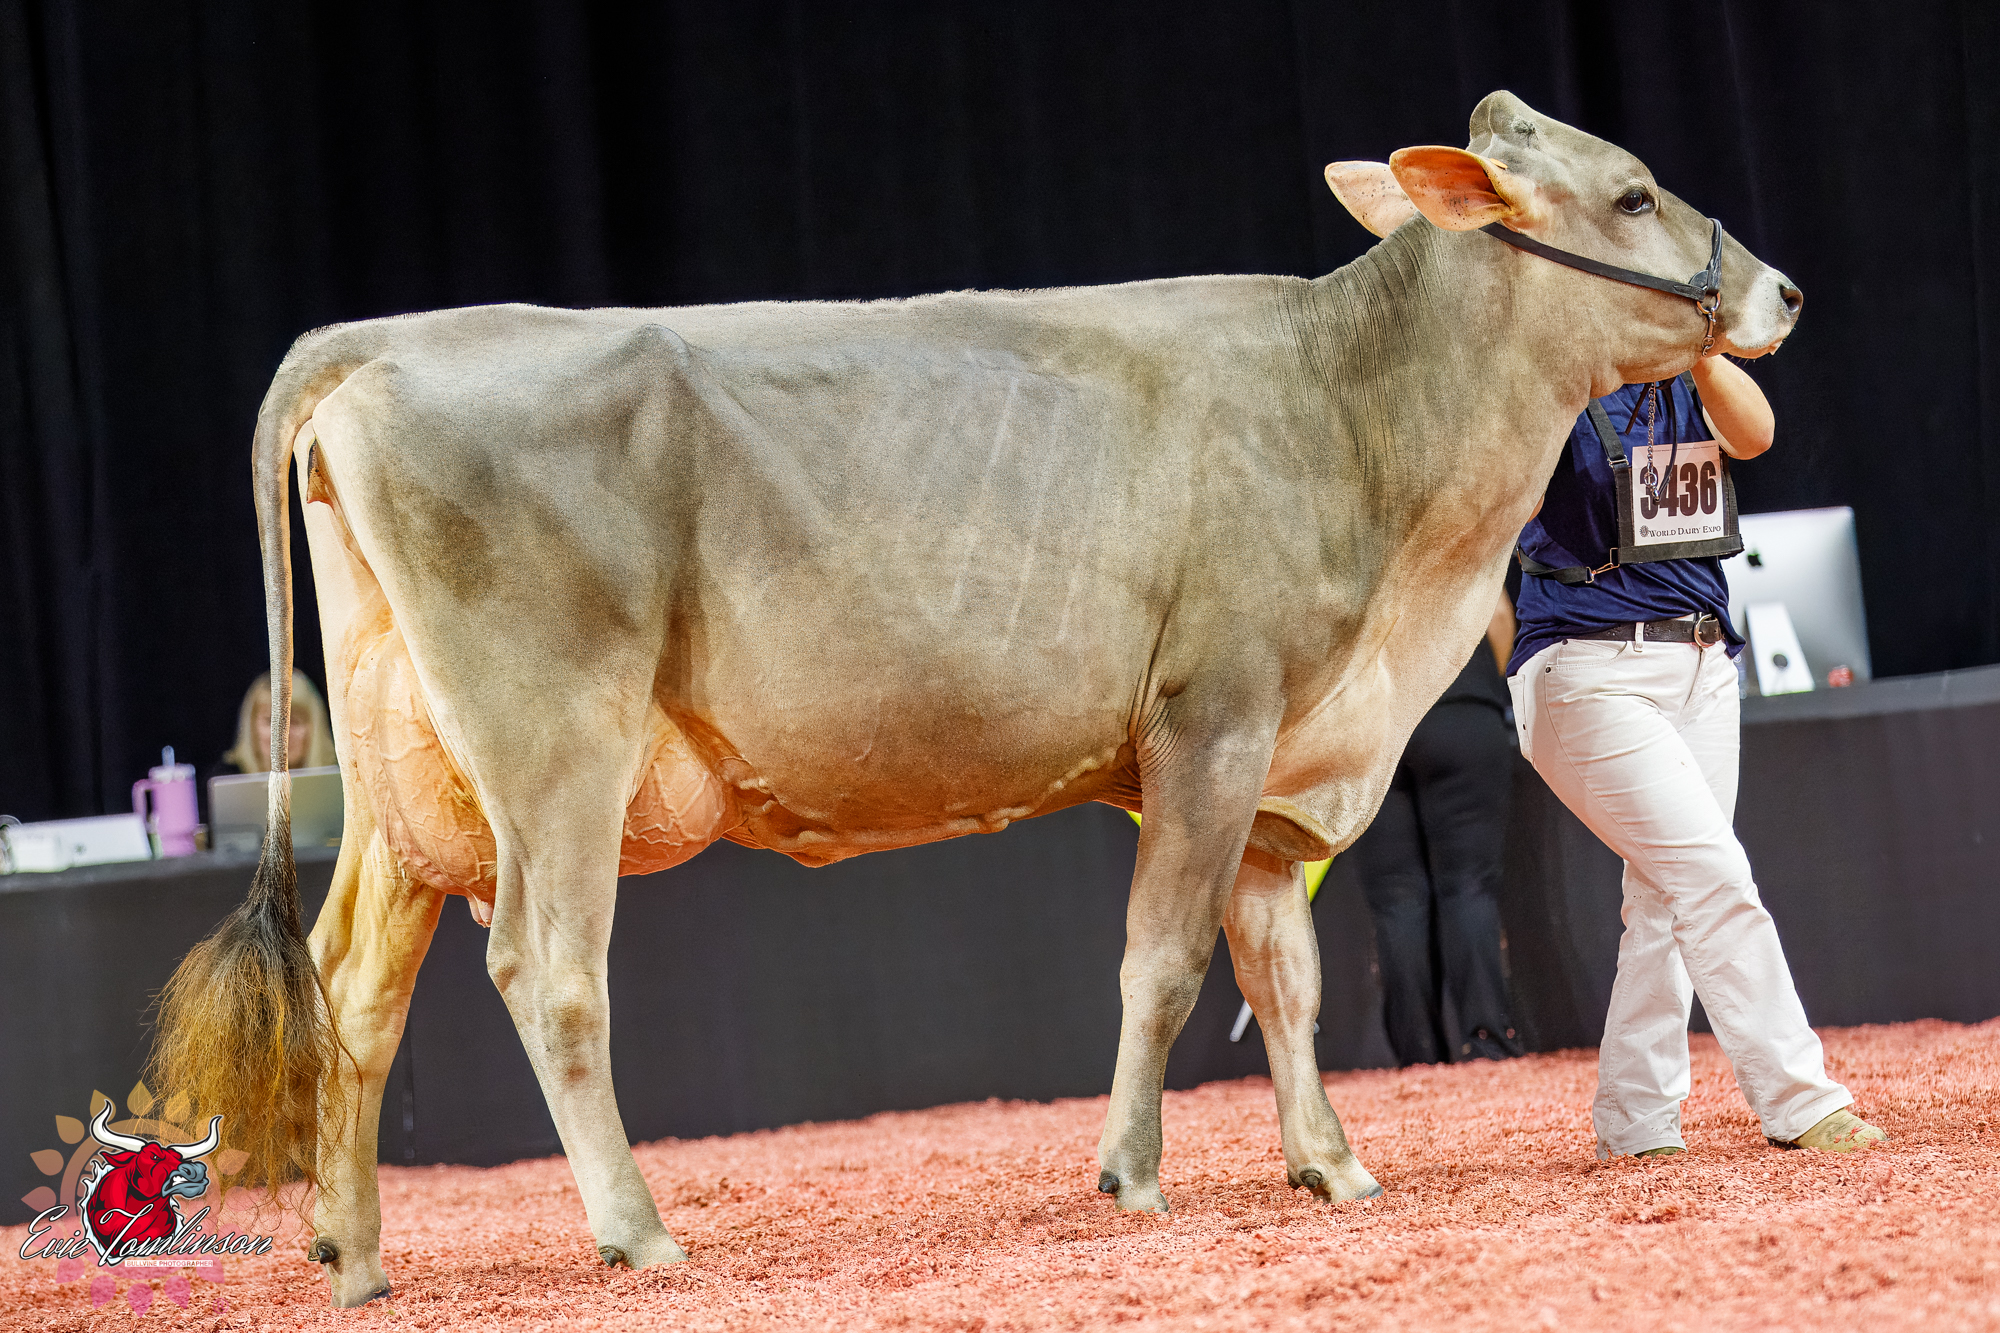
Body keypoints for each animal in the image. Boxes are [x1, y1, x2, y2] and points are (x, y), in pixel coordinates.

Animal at [150, 91, 1799, 1306]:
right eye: (1635, 193)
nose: (1779, 287)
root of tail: (389, 338)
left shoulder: (1280, 749)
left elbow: (1286, 974)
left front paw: (1328, 1162)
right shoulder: (1214, 718)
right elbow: (1165, 965)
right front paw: (1134, 1172)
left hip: (404, 774)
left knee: (355, 986)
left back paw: (355, 1254)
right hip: (556, 741)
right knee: (547, 972)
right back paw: (638, 1230)